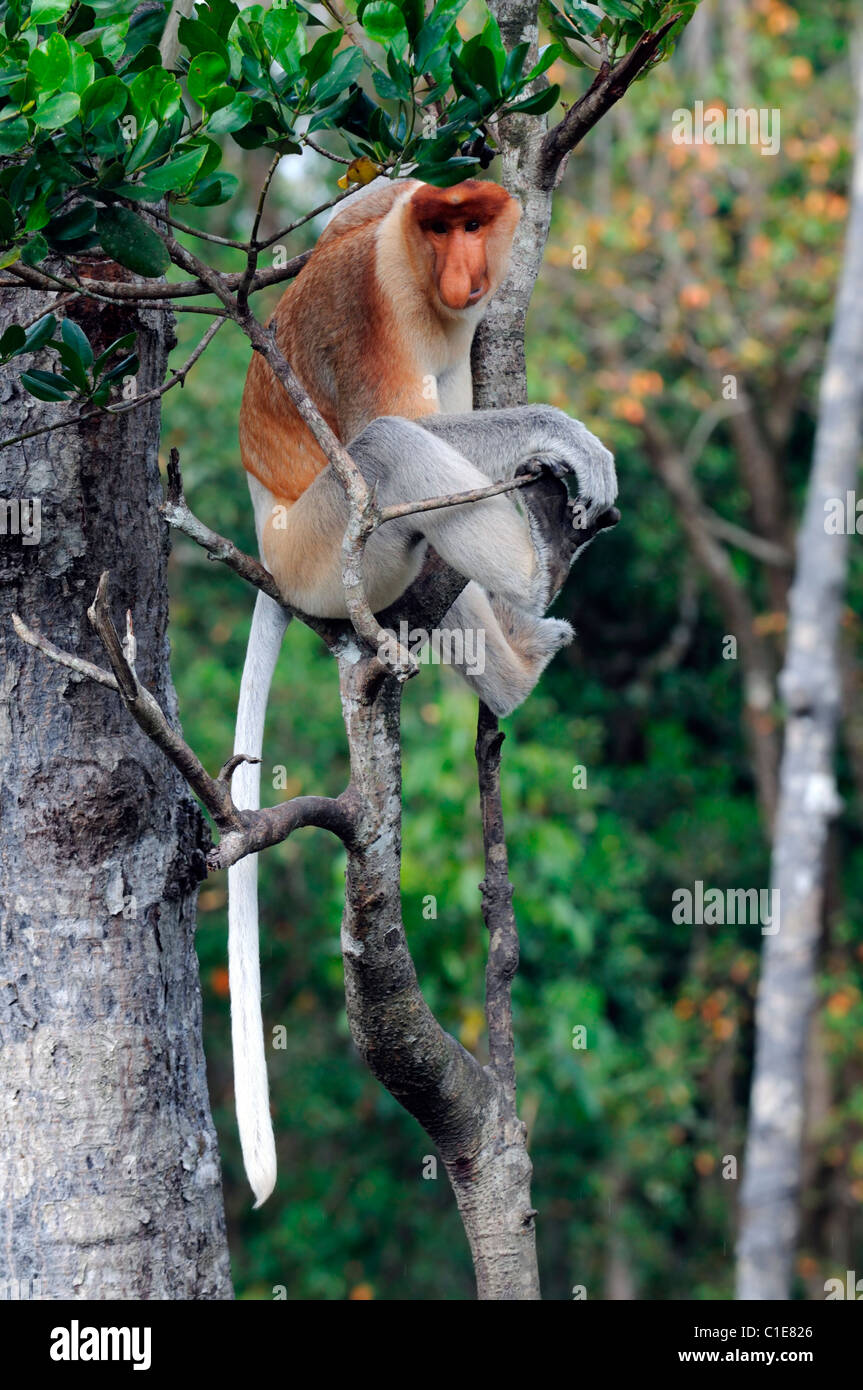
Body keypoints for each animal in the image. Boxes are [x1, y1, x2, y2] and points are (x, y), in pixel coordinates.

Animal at [229, 176, 619, 1206]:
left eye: (475, 223)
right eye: (442, 232)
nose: (465, 271)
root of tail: (268, 543)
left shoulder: (381, 206)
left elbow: (358, 198)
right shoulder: (376, 304)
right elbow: (400, 421)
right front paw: (566, 438)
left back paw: (517, 651)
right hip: (327, 549)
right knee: (391, 446)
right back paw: (537, 579)